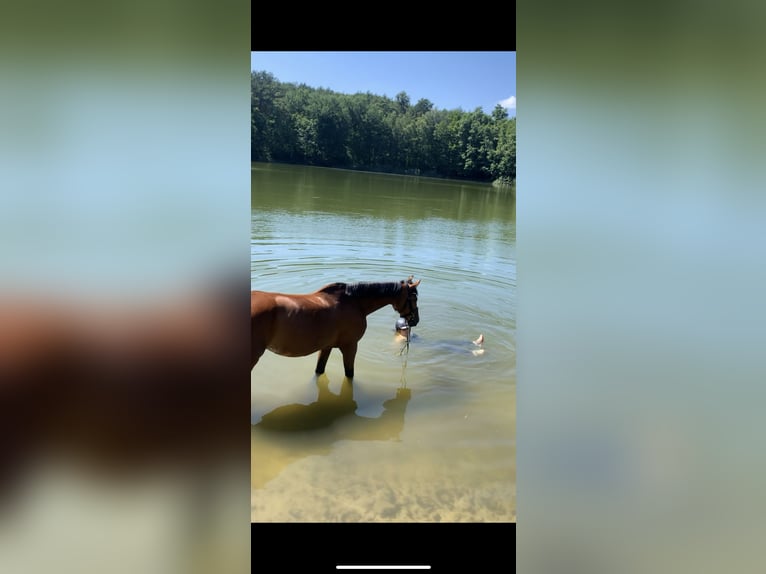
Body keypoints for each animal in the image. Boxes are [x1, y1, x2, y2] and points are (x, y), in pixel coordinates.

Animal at [251, 276, 420, 379]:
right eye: (414, 297)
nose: (415, 320)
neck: (354, 302)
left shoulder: (326, 347)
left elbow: (319, 370)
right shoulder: (350, 346)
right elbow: (349, 374)